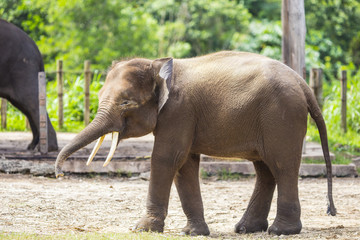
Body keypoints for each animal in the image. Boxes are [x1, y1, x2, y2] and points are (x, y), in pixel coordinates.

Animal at [54, 51, 336, 236]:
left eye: (126, 102)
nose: (58, 173)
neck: (158, 64)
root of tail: (302, 83)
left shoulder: (179, 111)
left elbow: (166, 158)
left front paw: (142, 229)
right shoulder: (181, 117)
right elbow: (184, 164)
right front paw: (192, 233)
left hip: (281, 117)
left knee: (282, 166)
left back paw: (280, 231)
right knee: (265, 169)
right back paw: (246, 229)